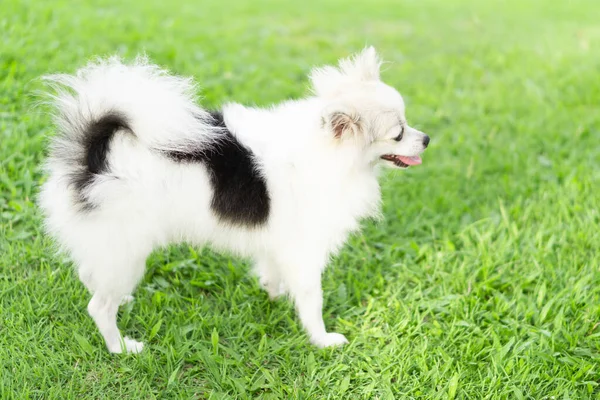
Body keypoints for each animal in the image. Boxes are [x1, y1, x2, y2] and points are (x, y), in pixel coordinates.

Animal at [38, 47, 426, 354]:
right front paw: (321, 339)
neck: (329, 152)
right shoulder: (305, 251)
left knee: (90, 274)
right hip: (127, 248)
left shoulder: (280, 242)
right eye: (398, 134)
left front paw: (274, 296)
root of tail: (96, 157)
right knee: (98, 307)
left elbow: (273, 273)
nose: (426, 139)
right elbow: (312, 300)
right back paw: (121, 346)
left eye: (408, 123)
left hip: (110, 245)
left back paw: (125, 301)